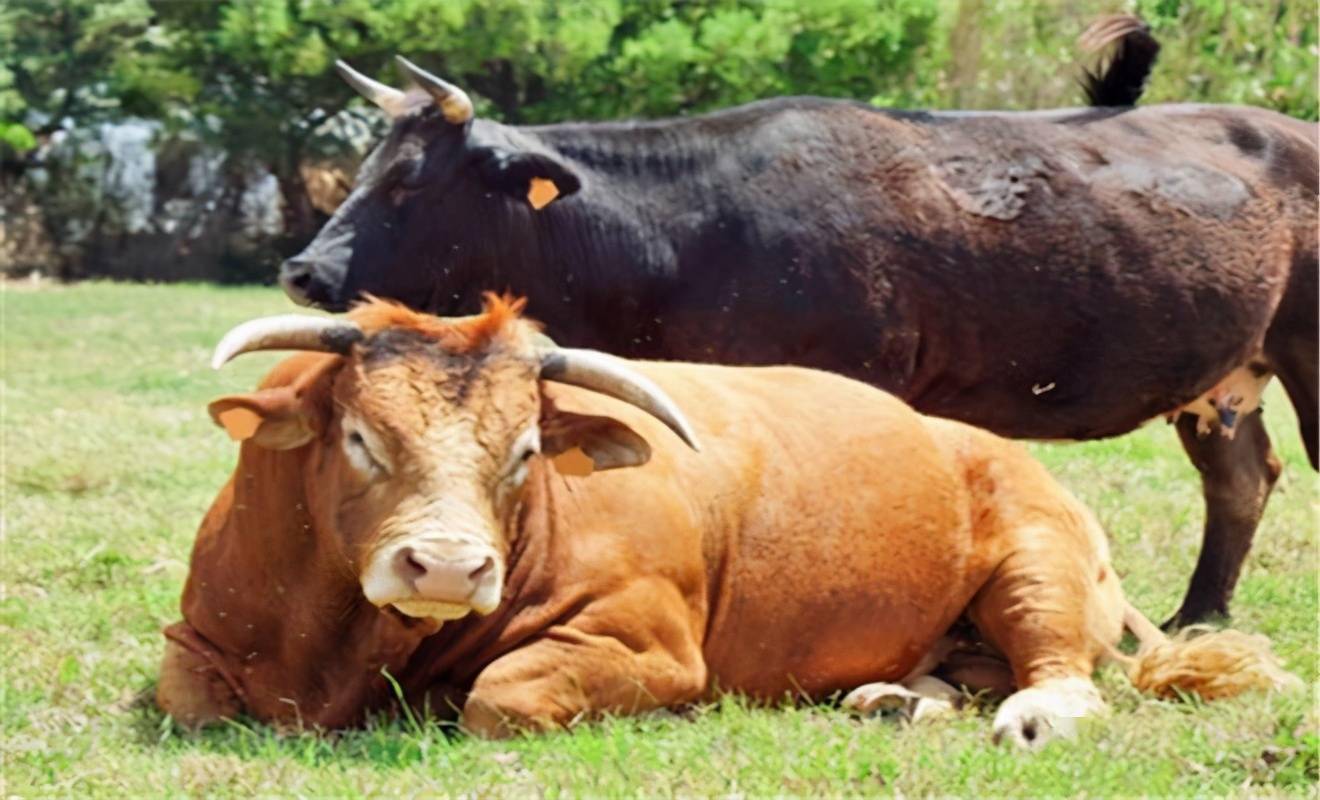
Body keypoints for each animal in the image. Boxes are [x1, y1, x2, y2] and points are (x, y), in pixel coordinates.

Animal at [157, 298, 1298, 749]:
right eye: (359, 436)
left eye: (523, 450)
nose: (443, 565)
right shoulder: (196, 641)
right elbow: (192, 700)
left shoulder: (651, 648)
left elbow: (501, 698)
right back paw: (893, 698)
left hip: (1038, 555)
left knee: (1057, 666)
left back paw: (1032, 710)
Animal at [273, 18, 1314, 631]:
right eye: (367, 167)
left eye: (410, 182)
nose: (303, 270)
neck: (689, 228)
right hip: (1221, 382)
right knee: (1241, 481)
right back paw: (1197, 620)